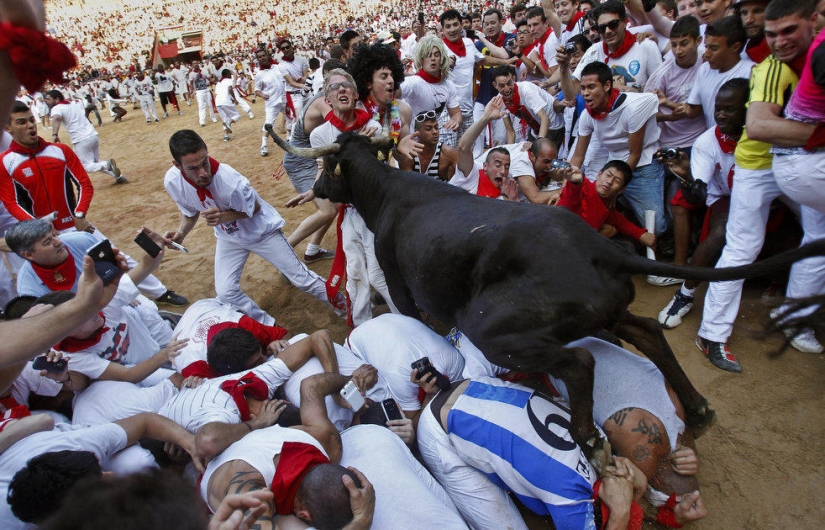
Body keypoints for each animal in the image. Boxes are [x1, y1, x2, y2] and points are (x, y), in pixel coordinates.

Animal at [270, 127, 824, 466]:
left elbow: (416, 319)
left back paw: (591, 438)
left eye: (331, 166)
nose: (318, 187)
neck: (386, 192)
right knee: (645, 331)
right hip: (606, 311)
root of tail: (601, 249)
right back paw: (700, 409)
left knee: (580, 362)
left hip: (496, 327)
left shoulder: (403, 284)